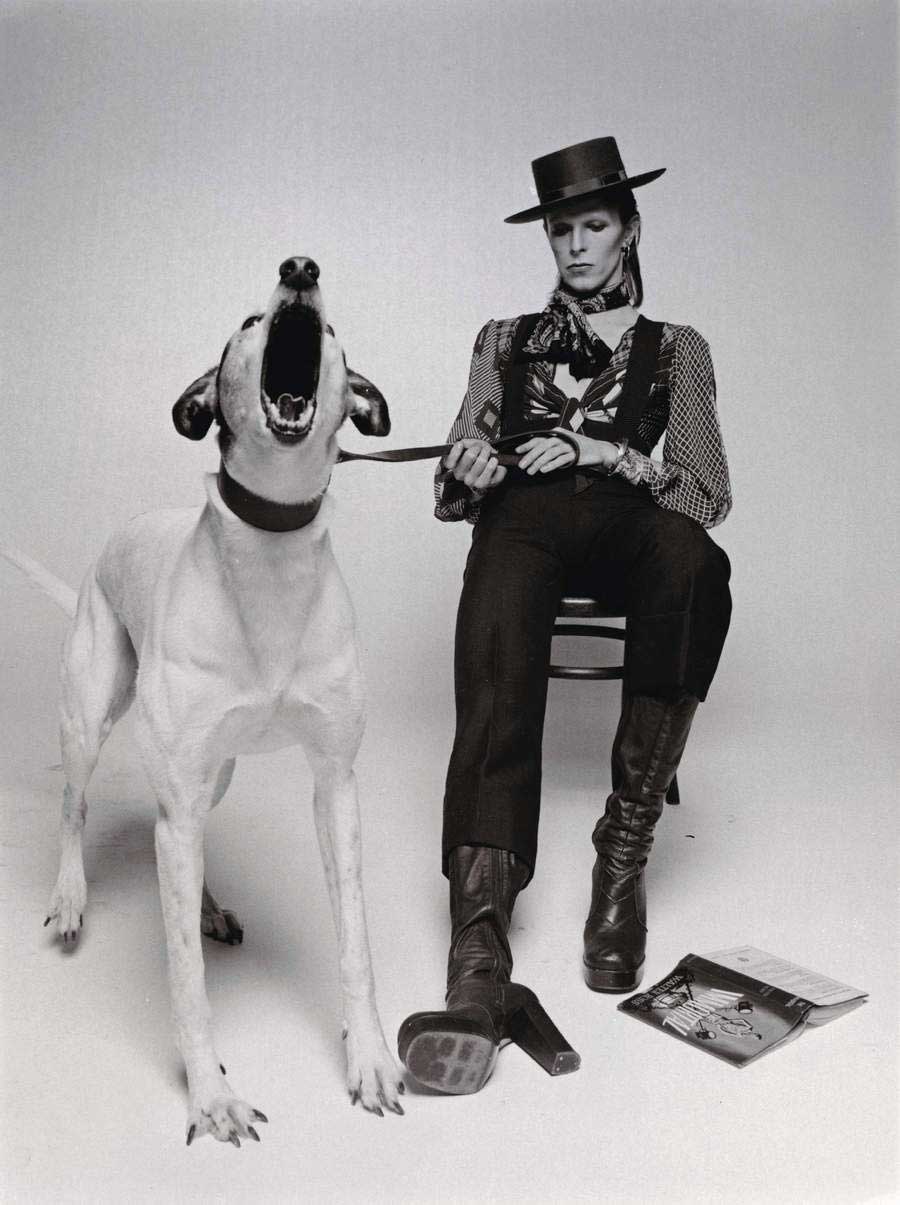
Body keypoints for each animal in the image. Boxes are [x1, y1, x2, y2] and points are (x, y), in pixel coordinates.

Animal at [9, 256, 404, 1147]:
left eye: (331, 329)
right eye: (249, 322)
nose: (301, 269)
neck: (271, 553)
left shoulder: (337, 784)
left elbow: (357, 941)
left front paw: (368, 1058)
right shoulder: (174, 784)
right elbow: (186, 984)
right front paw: (211, 1094)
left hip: (211, 775)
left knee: (186, 839)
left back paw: (205, 907)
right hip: (90, 714)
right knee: (77, 804)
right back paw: (72, 896)